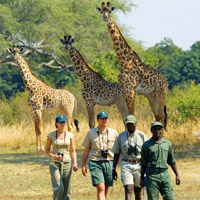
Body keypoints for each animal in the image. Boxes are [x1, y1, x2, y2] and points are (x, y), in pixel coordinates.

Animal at [97, 1, 169, 130]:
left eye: (109, 11)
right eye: (101, 11)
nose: (105, 18)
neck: (123, 62)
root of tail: (165, 80)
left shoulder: (131, 90)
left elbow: (133, 115)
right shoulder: (125, 90)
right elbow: (127, 117)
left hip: (162, 92)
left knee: (161, 114)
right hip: (151, 95)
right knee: (157, 115)